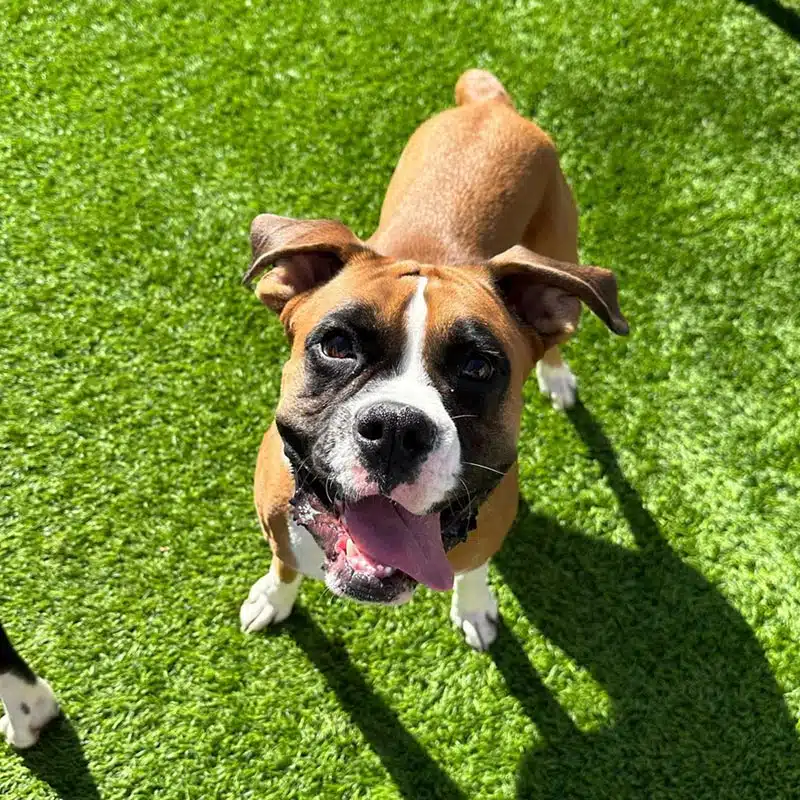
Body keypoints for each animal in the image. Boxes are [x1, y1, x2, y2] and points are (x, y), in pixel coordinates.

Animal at [238, 70, 624, 648]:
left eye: (478, 368)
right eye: (336, 346)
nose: (397, 429)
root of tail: (490, 106)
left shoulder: (488, 529)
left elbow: (474, 569)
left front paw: (476, 607)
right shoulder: (278, 524)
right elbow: (285, 565)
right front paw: (272, 596)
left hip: (561, 256)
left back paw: (557, 377)